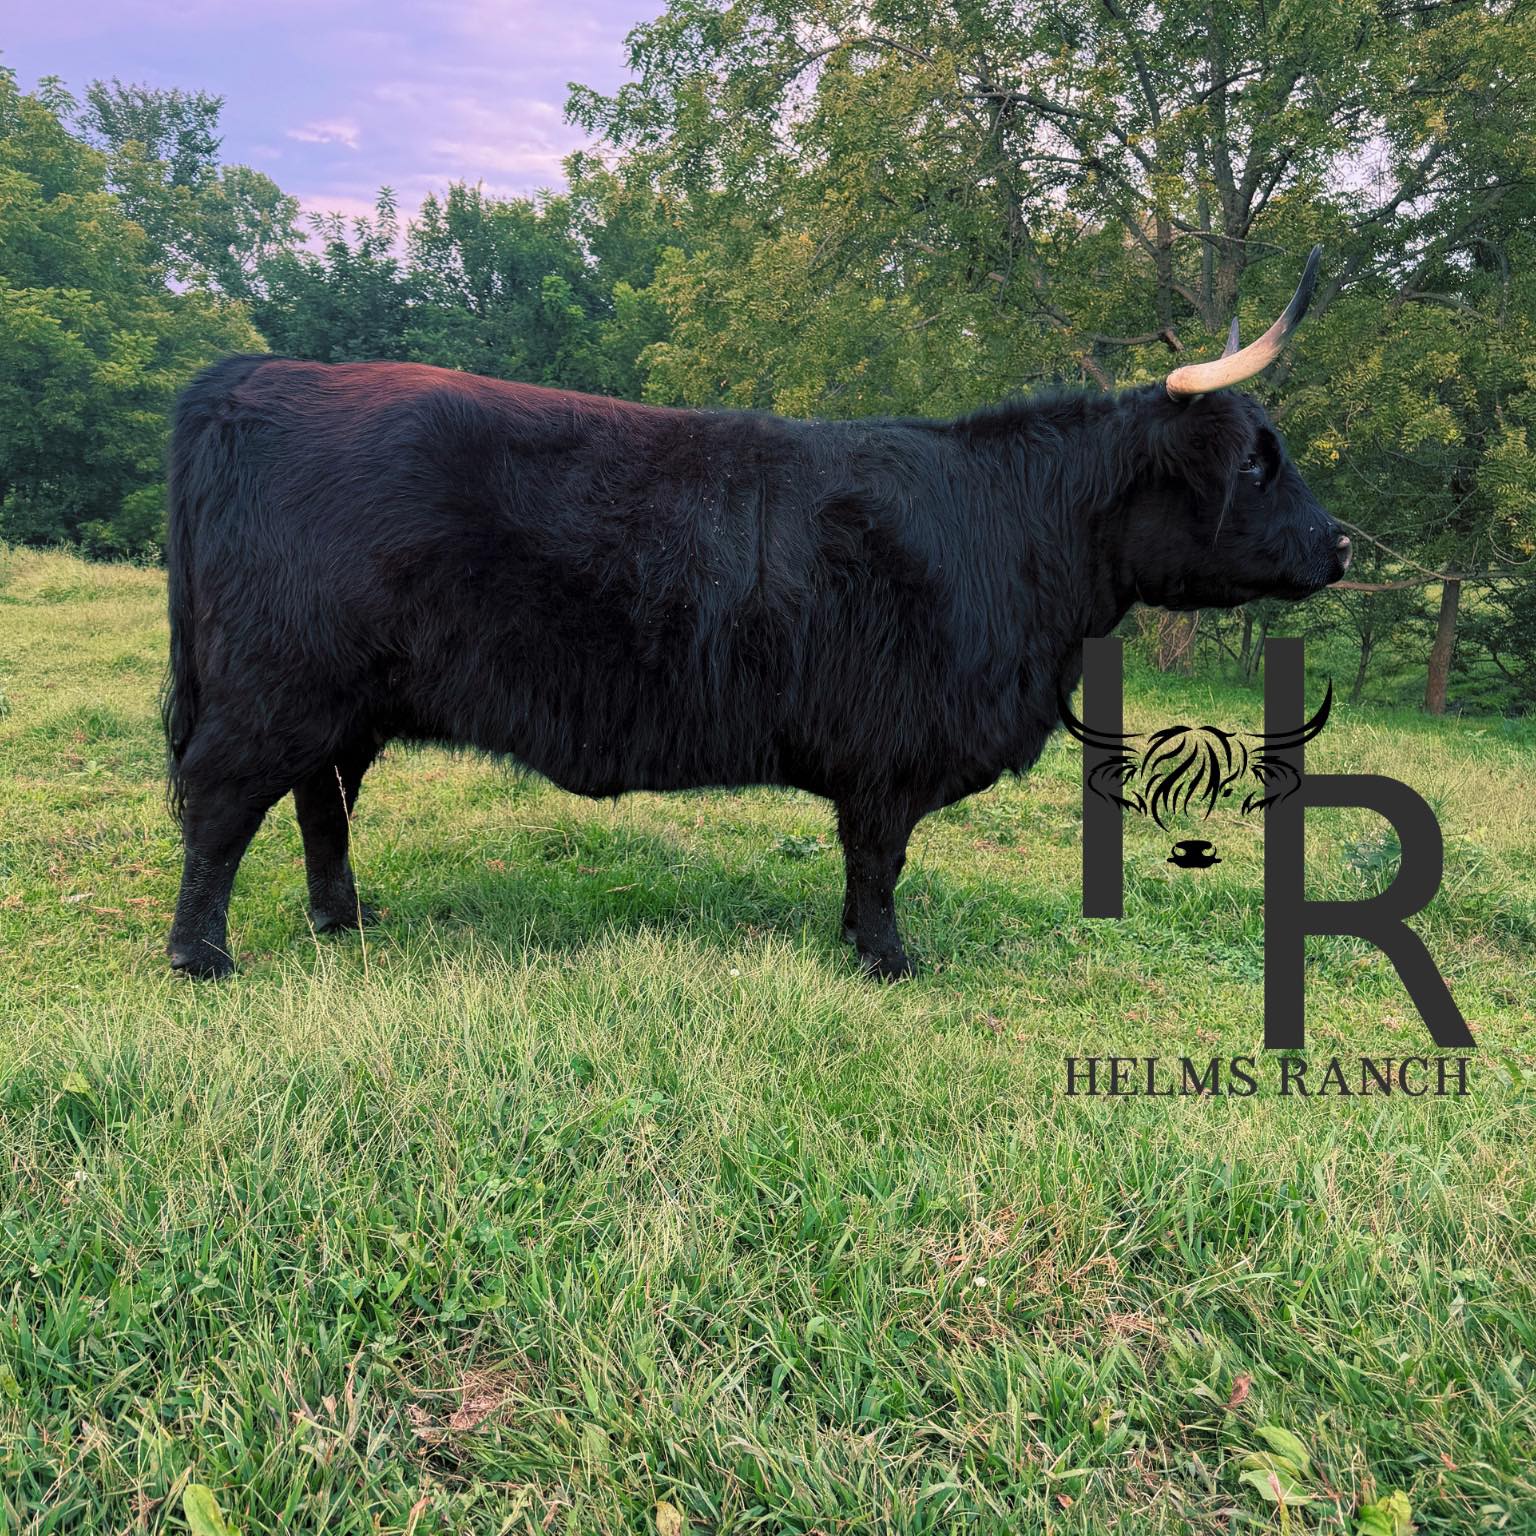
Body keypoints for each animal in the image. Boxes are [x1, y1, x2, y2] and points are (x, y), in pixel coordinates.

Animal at [162, 247, 1350, 980]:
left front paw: (859, 943)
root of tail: (259, 376)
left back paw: (343, 919)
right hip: (275, 689)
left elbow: (867, 861)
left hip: (344, 704)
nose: (1339, 543)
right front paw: (888, 960)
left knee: (322, 803)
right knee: (223, 807)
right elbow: (879, 859)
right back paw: (203, 956)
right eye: (1256, 461)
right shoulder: (889, 750)